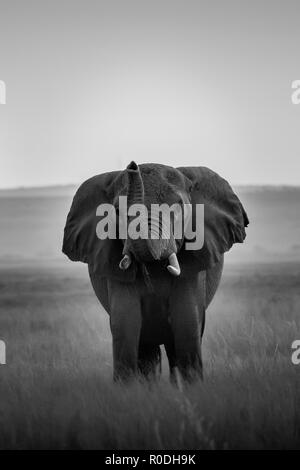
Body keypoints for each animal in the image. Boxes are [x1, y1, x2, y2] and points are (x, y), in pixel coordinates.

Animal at [61, 162, 248, 382]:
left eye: (177, 206)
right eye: (117, 211)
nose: (132, 166)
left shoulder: (193, 267)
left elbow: (187, 323)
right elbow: (125, 324)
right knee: (147, 349)